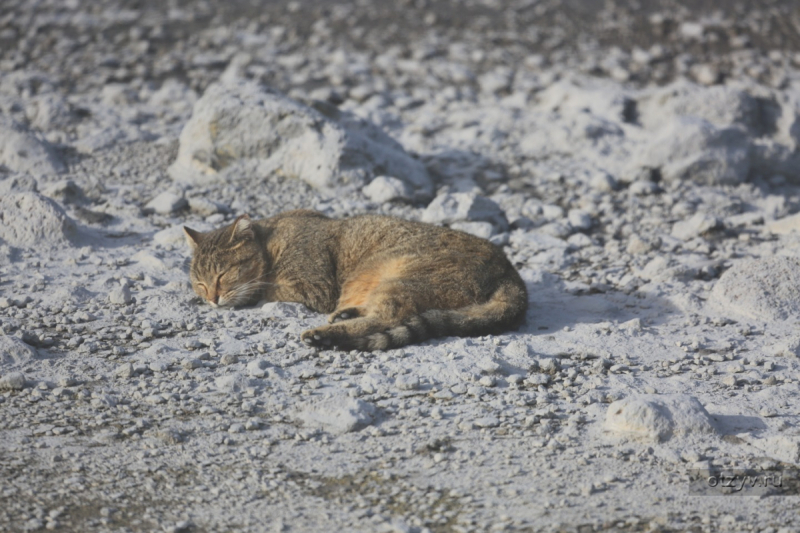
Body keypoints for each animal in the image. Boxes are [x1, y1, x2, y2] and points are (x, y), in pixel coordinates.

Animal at [184, 210, 528, 352]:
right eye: (199, 283)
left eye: (222, 275)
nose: (211, 298)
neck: (272, 239)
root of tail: (510, 270)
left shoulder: (315, 287)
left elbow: (264, 289)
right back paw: (344, 316)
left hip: (403, 276)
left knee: (390, 316)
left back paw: (323, 335)